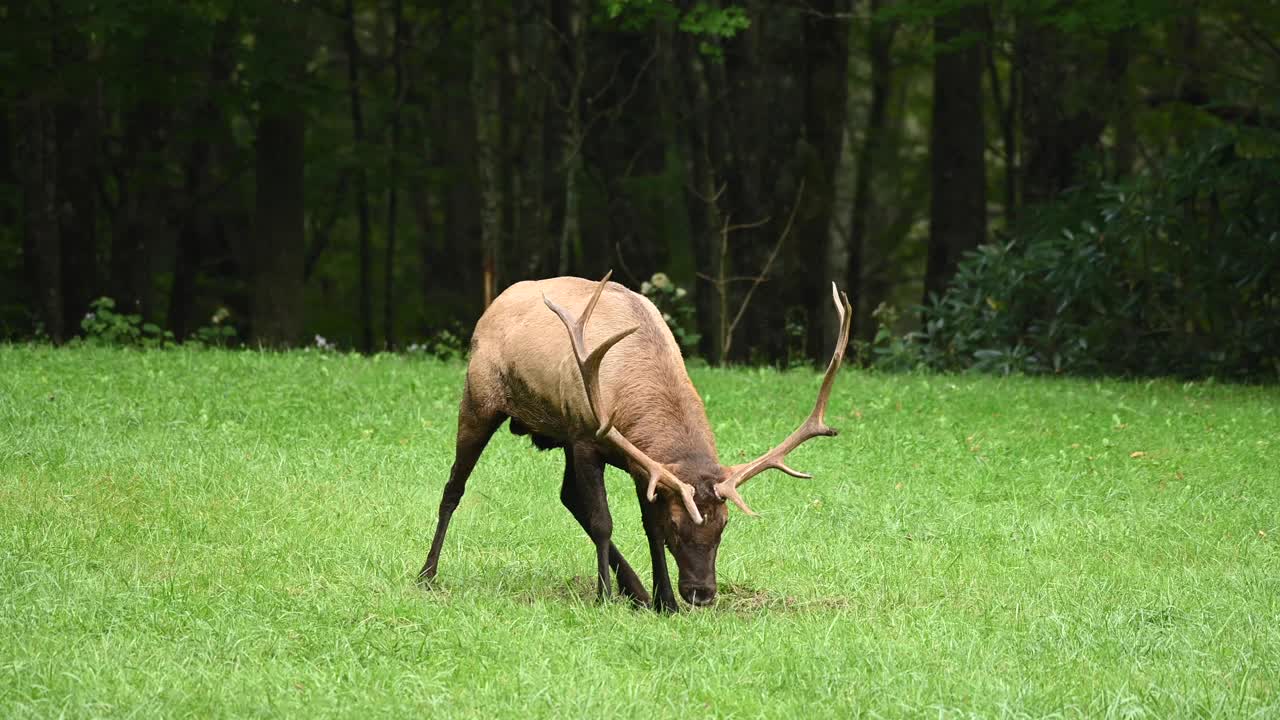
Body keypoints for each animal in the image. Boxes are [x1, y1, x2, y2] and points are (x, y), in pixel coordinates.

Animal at [419, 271, 855, 607]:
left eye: (724, 525)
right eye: (679, 526)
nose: (701, 593)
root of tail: (493, 304)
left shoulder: (643, 466)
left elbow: (646, 526)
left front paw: (664, 601)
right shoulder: (586, 439)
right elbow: (603, 522)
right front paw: (604, 596)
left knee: (567, 496)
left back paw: (638, 592)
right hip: (480, 399)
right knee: (454, 487)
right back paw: (427, 573)